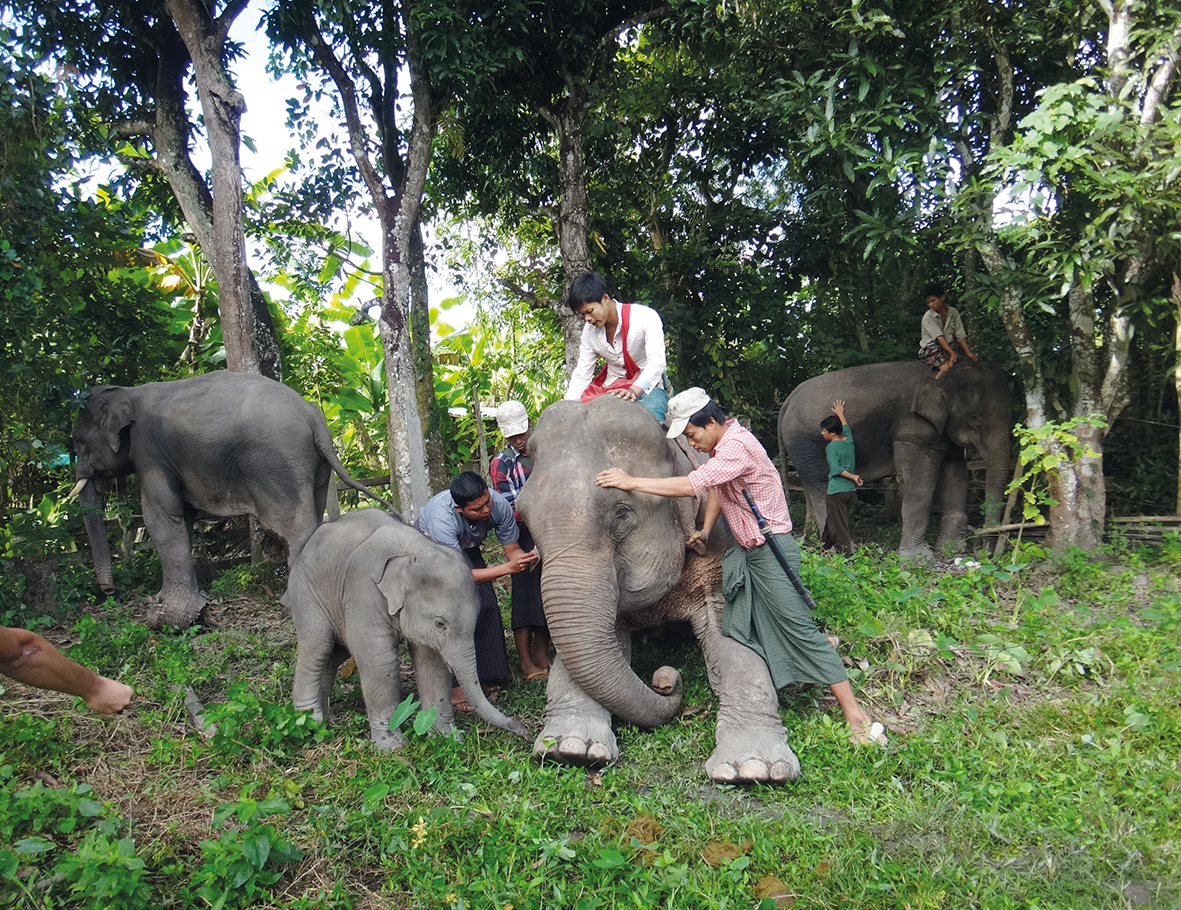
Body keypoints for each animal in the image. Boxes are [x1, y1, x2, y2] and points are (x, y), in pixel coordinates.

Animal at [71, 370, 389, 627]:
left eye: (80, 444)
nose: (109, 591)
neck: (128, 391)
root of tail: (313, 416)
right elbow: (183, 516)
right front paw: (167, 599)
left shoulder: (149, 453)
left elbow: (160, 517)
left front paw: (170, 609)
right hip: (315, 465)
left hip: (278, 463)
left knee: (296, 525)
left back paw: (292, 604)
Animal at [279, 509, 526, 750]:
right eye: (440, 623)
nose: (524, 730)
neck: (413, 552)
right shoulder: (364, 592)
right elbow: (379, 660)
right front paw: (392, 746)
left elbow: (431, 663)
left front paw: (446, 738)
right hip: (305, 593)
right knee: (318, 646)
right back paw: (310, 723)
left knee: (333, 654)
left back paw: (327, 721)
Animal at [519, 398, 803, 783]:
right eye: (524, 518)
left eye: (621, 515)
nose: (665, 681)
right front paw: (570, 749)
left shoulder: (718, 546)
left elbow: (735, 643)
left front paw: (755, 769)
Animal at [774, 358, 1015, 559]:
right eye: (973, 417)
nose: (984, 552)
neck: (942, 374)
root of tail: (787, 401)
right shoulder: (911, 428)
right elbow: (918, 481)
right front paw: (917, 560)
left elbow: (955, 473)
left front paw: (952, 550)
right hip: (804, 442)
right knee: (822, 486)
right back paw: (840, 549)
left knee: (810, 487)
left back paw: (811, 542)